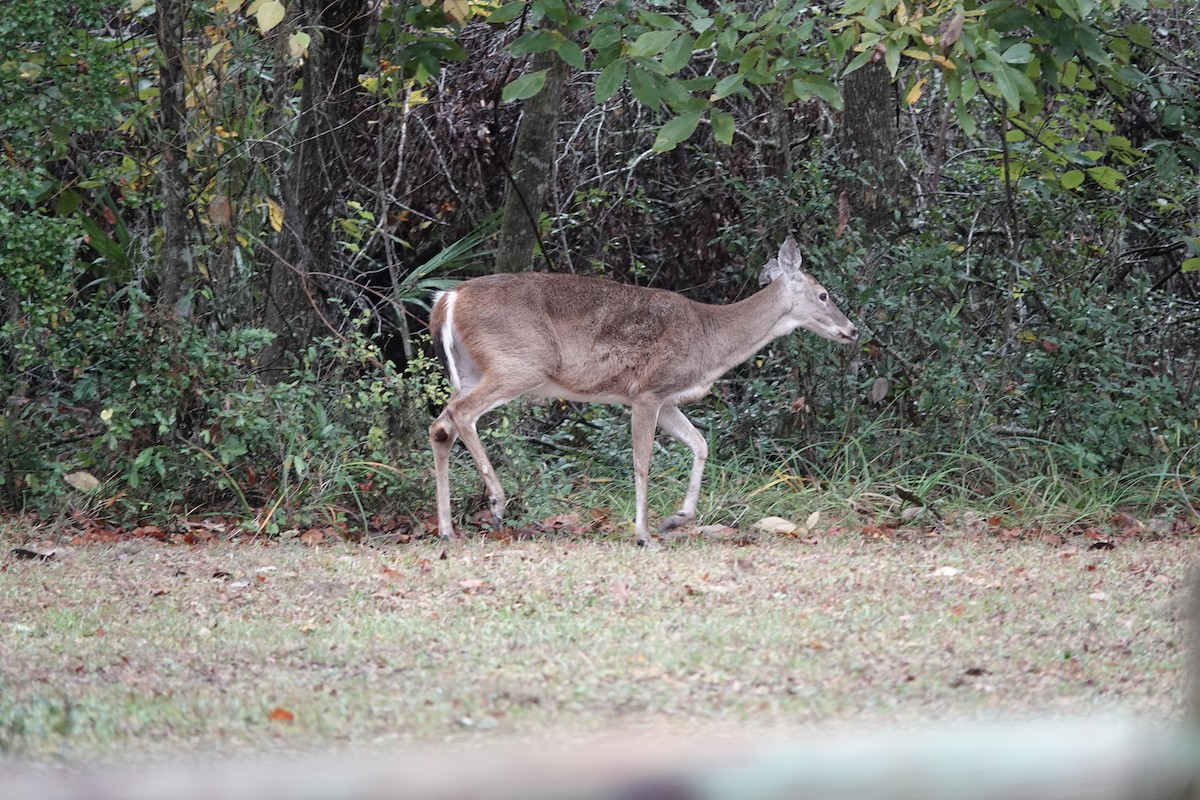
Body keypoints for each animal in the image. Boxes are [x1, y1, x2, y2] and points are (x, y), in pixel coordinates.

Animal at [428, 237, 859, 547]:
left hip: (471, 370)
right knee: (461, 415)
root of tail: (447, 299)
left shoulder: (667, 400)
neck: (710, 339)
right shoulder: (647, 392)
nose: (852, 329)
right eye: (823, 294)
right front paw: (644, 534)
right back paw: (497, 504)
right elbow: (642, 462)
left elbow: (701, 444)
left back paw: (448, 531)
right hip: (519, 364)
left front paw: (676, 519)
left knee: (441, 426)